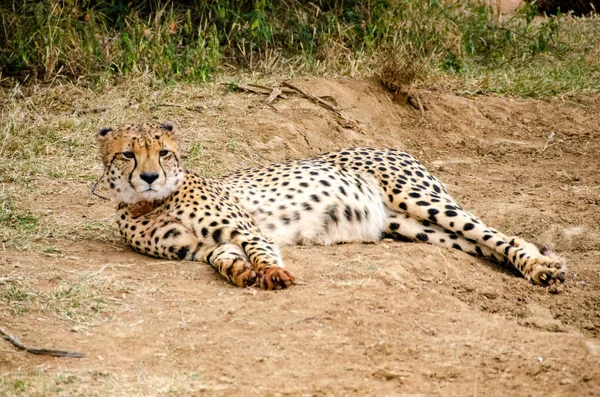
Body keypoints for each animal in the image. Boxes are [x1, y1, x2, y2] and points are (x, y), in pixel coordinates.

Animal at [97, 122, 568, 290]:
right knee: (486, 244)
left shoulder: (246, 229)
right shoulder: (206, 246)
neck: (149, 204)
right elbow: (225, 260)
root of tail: (388, 144)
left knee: (499, 235)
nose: (150, 177)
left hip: (420, 199)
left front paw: (272, 274)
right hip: (413, 225)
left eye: (163, 153)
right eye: (128, 155)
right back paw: (535, 265)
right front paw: (241, 274)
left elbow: (263, 251)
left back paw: (541, 268)